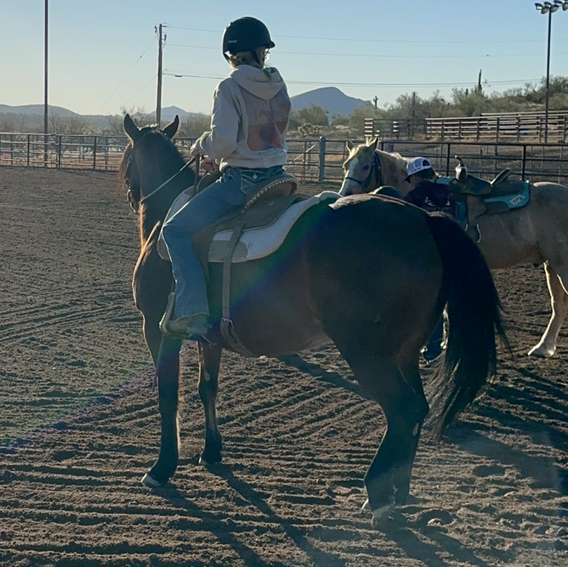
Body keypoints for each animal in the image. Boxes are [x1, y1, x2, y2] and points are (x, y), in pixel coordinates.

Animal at [120, 114, 506, 522]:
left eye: (126, 160)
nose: (130, 192)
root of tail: (426, 219)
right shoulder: (209, 337)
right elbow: (207, 388)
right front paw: (211, 452)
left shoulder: (157, 328)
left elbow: (167, 396)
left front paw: (161, 468)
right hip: (403, 351)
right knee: (417, 409)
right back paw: (397, 491)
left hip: (367, 353)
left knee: (405, 409)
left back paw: (378, 494)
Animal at [340, 137, 568, 358]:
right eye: (345, 165)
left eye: (366, 166)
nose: (345, 194)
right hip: (551, 265)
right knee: (559, 304)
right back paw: (543, 347)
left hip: (561, 264)